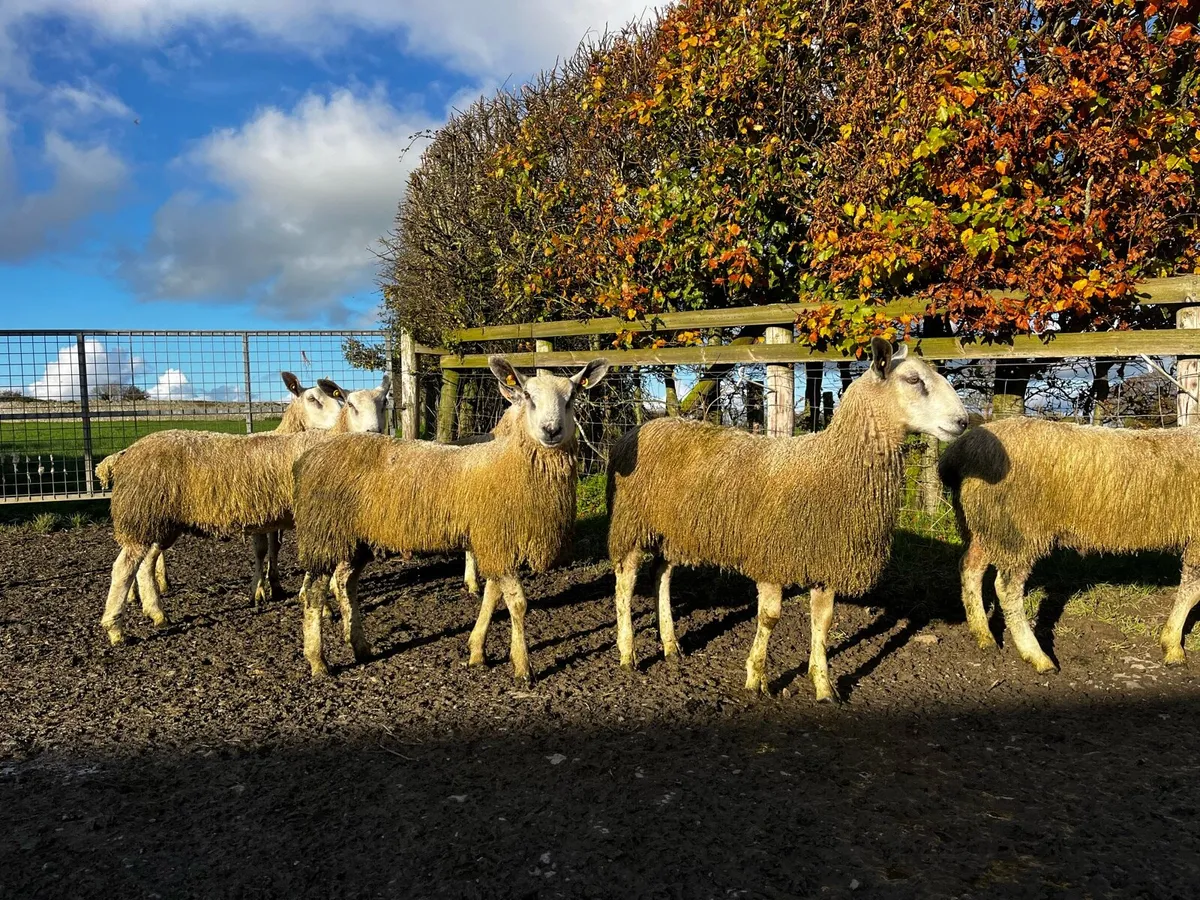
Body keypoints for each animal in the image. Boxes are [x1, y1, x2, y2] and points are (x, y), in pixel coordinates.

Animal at [98, 375, 390, 645]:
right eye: (350, 404)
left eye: (384, 402)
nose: (373, 433)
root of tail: (124, 454)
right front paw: (323, 605)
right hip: (142, 514)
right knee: (123, 568)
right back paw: (115, 629)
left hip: (160, 521)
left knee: (144, 564)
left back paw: (156, 613)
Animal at [291, 356, 610, 682]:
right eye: (529, 397)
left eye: (571, 398)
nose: (551, 430)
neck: (512, 463)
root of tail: (308, 457)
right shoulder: (496, 538)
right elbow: (517, 603)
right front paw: (522, 665)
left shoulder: (492, 541)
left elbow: (492, 596)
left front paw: (477, 650)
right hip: (323, 532)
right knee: (314, 594)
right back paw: (317, 661)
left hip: (357, 538)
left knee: (346, 582)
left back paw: (360, 646)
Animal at [606, 339, 968, 702]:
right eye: (913, 380)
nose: (964, 421)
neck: (832, 464)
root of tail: (638, 428)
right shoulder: (772, 558)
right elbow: (769, 618)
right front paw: (756, 678)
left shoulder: (826, 560)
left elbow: (823, 623)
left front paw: (824, 686)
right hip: (630, 523)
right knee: (625, 582)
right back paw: (628, 653)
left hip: (670, 531)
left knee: (661, 575)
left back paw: (670, 645)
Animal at [938, 416, 1200, 672]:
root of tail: (960, 450)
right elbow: (1192, 591)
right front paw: (1173, 646)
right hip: (1017, 528)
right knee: (1006, 588)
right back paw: (1036, 656)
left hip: (986, 525)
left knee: (970, 568)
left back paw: (983, 635)